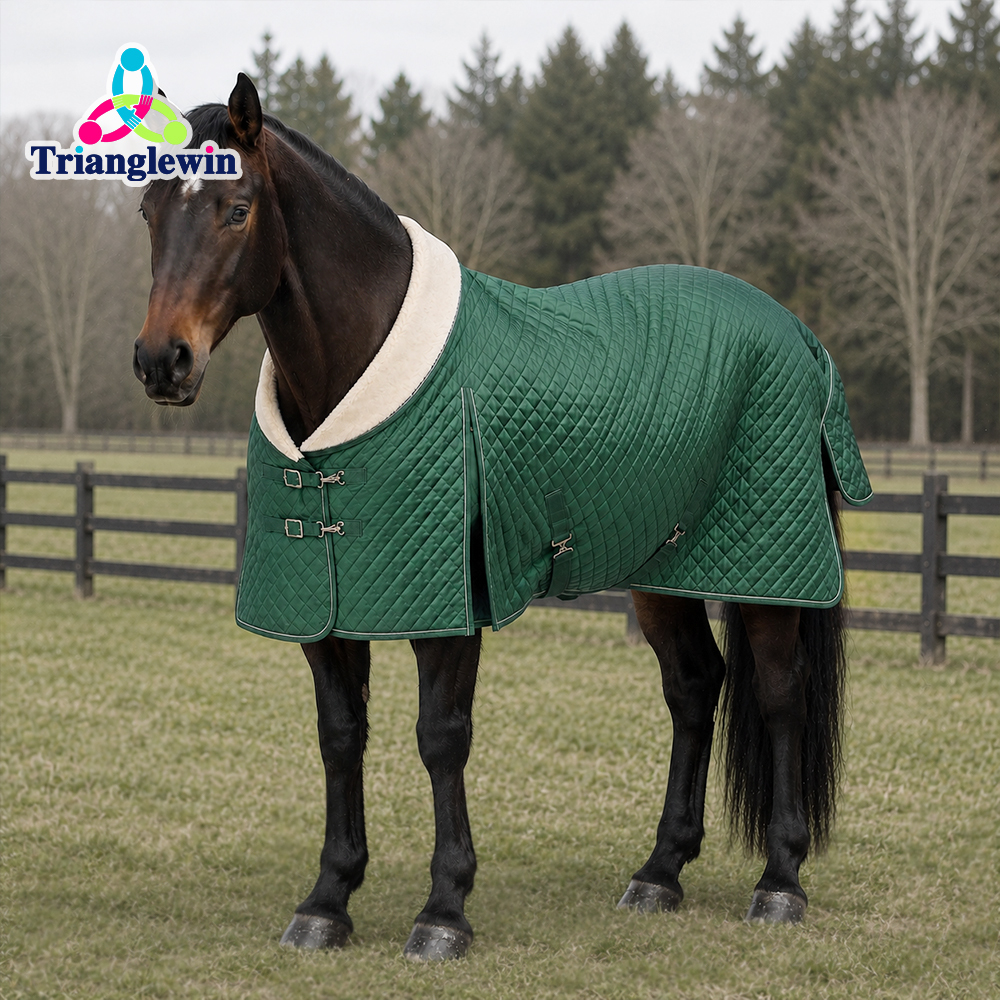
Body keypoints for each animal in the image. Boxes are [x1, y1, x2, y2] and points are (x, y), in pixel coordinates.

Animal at [133, 74, 871, 961]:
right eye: (147, 208)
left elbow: (441, 737)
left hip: (764, 567)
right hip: (664, 566)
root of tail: (797, 334)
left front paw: (443, 910)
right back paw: (660, 872)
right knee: (696, 688)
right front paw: (327, 900)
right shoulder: (327, 609)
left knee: (778, 694)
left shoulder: (449, 607)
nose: (162, 361)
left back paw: (780, 881)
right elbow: (341, 735)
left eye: (236, 207)